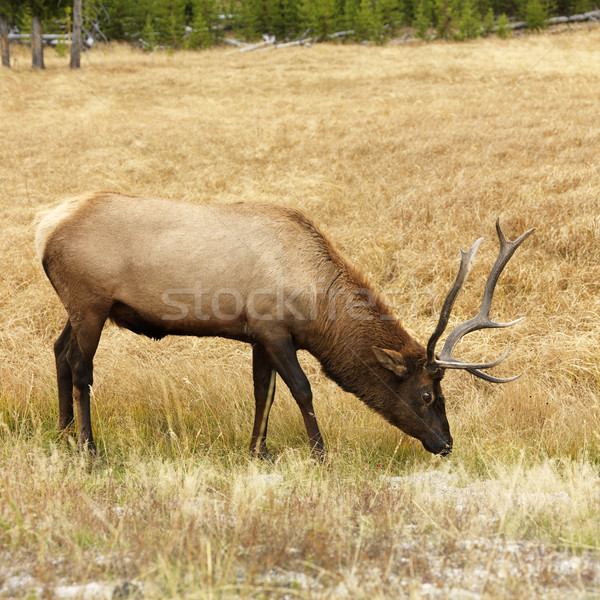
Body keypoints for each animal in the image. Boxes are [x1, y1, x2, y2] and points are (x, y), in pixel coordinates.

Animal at [35, 191, 536, 454]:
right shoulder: (275, 329)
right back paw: (88, 447)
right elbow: (301, 389)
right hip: (90, 302)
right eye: (428, 394)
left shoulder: (256, 333)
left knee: (59, 352)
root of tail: (45, 226)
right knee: (81, 368)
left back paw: (61, 431)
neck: (315, 306)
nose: (446, 443)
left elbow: (264, 391)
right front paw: (320, 452)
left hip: (78, 308)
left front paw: (256, 449)